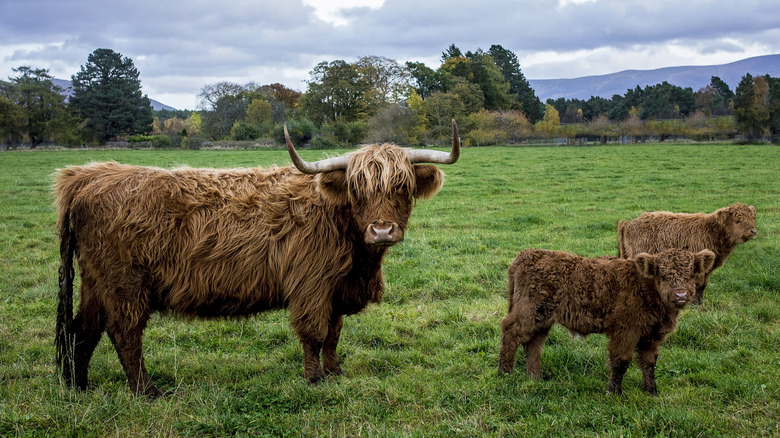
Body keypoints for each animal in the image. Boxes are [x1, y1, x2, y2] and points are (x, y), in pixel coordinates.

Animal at [54, 121, 461, 398]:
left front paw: (335, 372)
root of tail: (89, 176)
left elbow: (334, 334)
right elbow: (314, 333)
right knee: (124, 333)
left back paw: (80, 387)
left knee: (82, 330)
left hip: (97, 283)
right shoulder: (311, 285)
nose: (382, 230)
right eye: (357, 190)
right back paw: (147, 392)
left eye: (402, 187)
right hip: (125, 284)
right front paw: (314, 378)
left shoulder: (336, 289)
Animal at [498, 248, 716, 395]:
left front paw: (651, 390)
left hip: (542, 318)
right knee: (510, 333)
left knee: (533, 344)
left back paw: (535, 378)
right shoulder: (626, 330)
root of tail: (528, 254)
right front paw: (614, 392)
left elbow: (649, 362)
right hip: (528, 312)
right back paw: (504, 374)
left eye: (691, 273)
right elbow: (621, 361)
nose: (681, 294)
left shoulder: (652, 336)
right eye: (662, 273)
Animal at [618, 203, 757, 303]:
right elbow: (698, 285)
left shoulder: (707, 269)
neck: (712, 232)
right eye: (737, 220)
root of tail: (628, 223)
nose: (753, 231)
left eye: (753, 218)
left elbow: (703, 286)